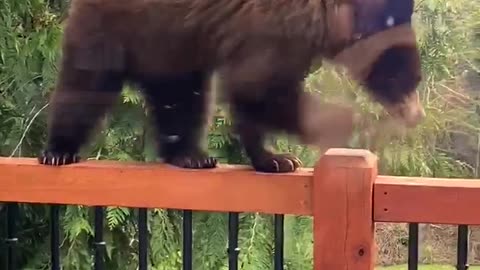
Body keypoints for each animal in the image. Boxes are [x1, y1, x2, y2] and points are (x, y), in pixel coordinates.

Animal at [40, 0, 424, 173]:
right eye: (401, 77)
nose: (417, 115)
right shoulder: (275, 30)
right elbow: (257, 88)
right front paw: (342, 124)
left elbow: (254, 94)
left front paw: (272, 158)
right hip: (110, 29)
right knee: (83, 88)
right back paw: (58, 150)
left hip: (172, 50)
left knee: (186, 100)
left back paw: (189, 154)